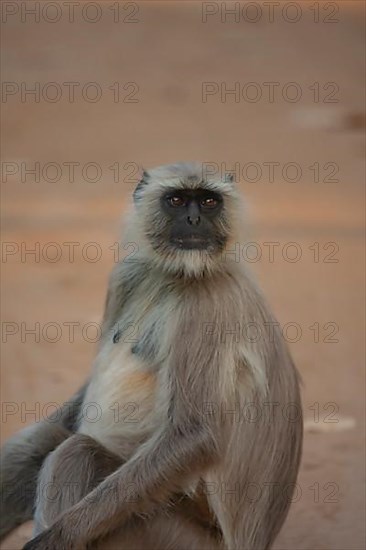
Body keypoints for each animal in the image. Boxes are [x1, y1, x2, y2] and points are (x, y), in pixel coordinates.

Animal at [0, 164, 304, 550]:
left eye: (209, 201)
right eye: (176, 200)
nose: (193, 220)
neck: (177, 275)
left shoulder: (205, 305)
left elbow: (194, 436)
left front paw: (56, 538)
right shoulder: (127, 275)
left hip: (172, 536)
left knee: (77, 452)